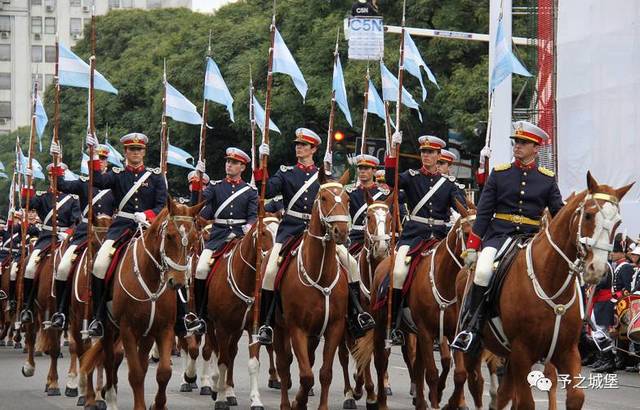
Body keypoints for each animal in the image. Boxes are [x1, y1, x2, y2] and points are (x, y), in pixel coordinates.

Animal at [80, 199, 205, 410]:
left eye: (194, 237)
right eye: (169, 236)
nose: (178, 282)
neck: (151, 276)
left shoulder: (164, 329)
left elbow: (163, 372)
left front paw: (158, 404)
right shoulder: (128, 330)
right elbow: (135, 374)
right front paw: (139, 405)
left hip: (146, 334)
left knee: (139, 363)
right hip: (109, 329)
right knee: (109, 361)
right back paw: (108, 398)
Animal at [270, 168, 350, 408]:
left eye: (347, 199)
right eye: (323, 198)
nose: (341, 232)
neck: (320, 275)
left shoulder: (334, 327)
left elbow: (324, 373)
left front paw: (314, 403)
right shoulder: (297, 328)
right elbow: (305, 375)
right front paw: (297, 402)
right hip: (279, 326)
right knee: (284, 363)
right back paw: (287, 402)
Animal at [458, 171, 632, 408]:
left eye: (617, 222)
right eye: (588, 215)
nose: (597, 270)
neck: (551, 282)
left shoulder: (566, 351)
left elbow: (575, 396)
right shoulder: (522, 352)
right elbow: (525, 402)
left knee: (501, 392)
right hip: (474, 349)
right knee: (471, 379)